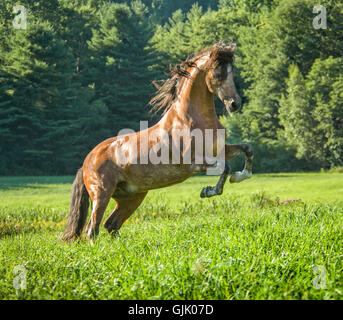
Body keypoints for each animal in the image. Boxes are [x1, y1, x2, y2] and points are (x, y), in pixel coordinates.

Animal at [63, 40, 254, 240]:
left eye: (232, 72)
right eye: (218, 73)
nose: (235, 104)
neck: (191, 119)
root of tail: (87, 161)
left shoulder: (221, 150)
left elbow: (247, 149)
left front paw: (240, 176)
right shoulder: (194, 163)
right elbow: (226, 167)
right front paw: (207, 191)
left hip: (132, 197)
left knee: (111, 224)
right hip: (101, 194)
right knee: (92, 229)